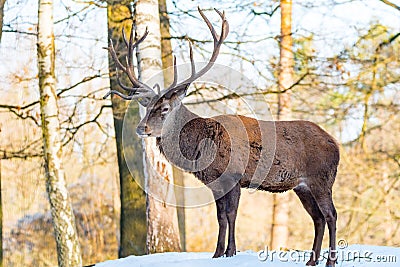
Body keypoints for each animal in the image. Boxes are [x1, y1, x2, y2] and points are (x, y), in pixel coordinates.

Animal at [104, 7, 340, 267]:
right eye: (147, 107)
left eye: (164, 109)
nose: (141, 128)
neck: (200, 149)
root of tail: (337, 145)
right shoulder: (215, 183)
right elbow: (220, 217)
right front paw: (217, 253)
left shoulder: (233, 176)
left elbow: (231, 214)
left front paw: (231, 251)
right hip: (302, 187)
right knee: (318, 218)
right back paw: (311, 260)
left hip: (322, 178)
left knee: (331, 214)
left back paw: (330, 261)